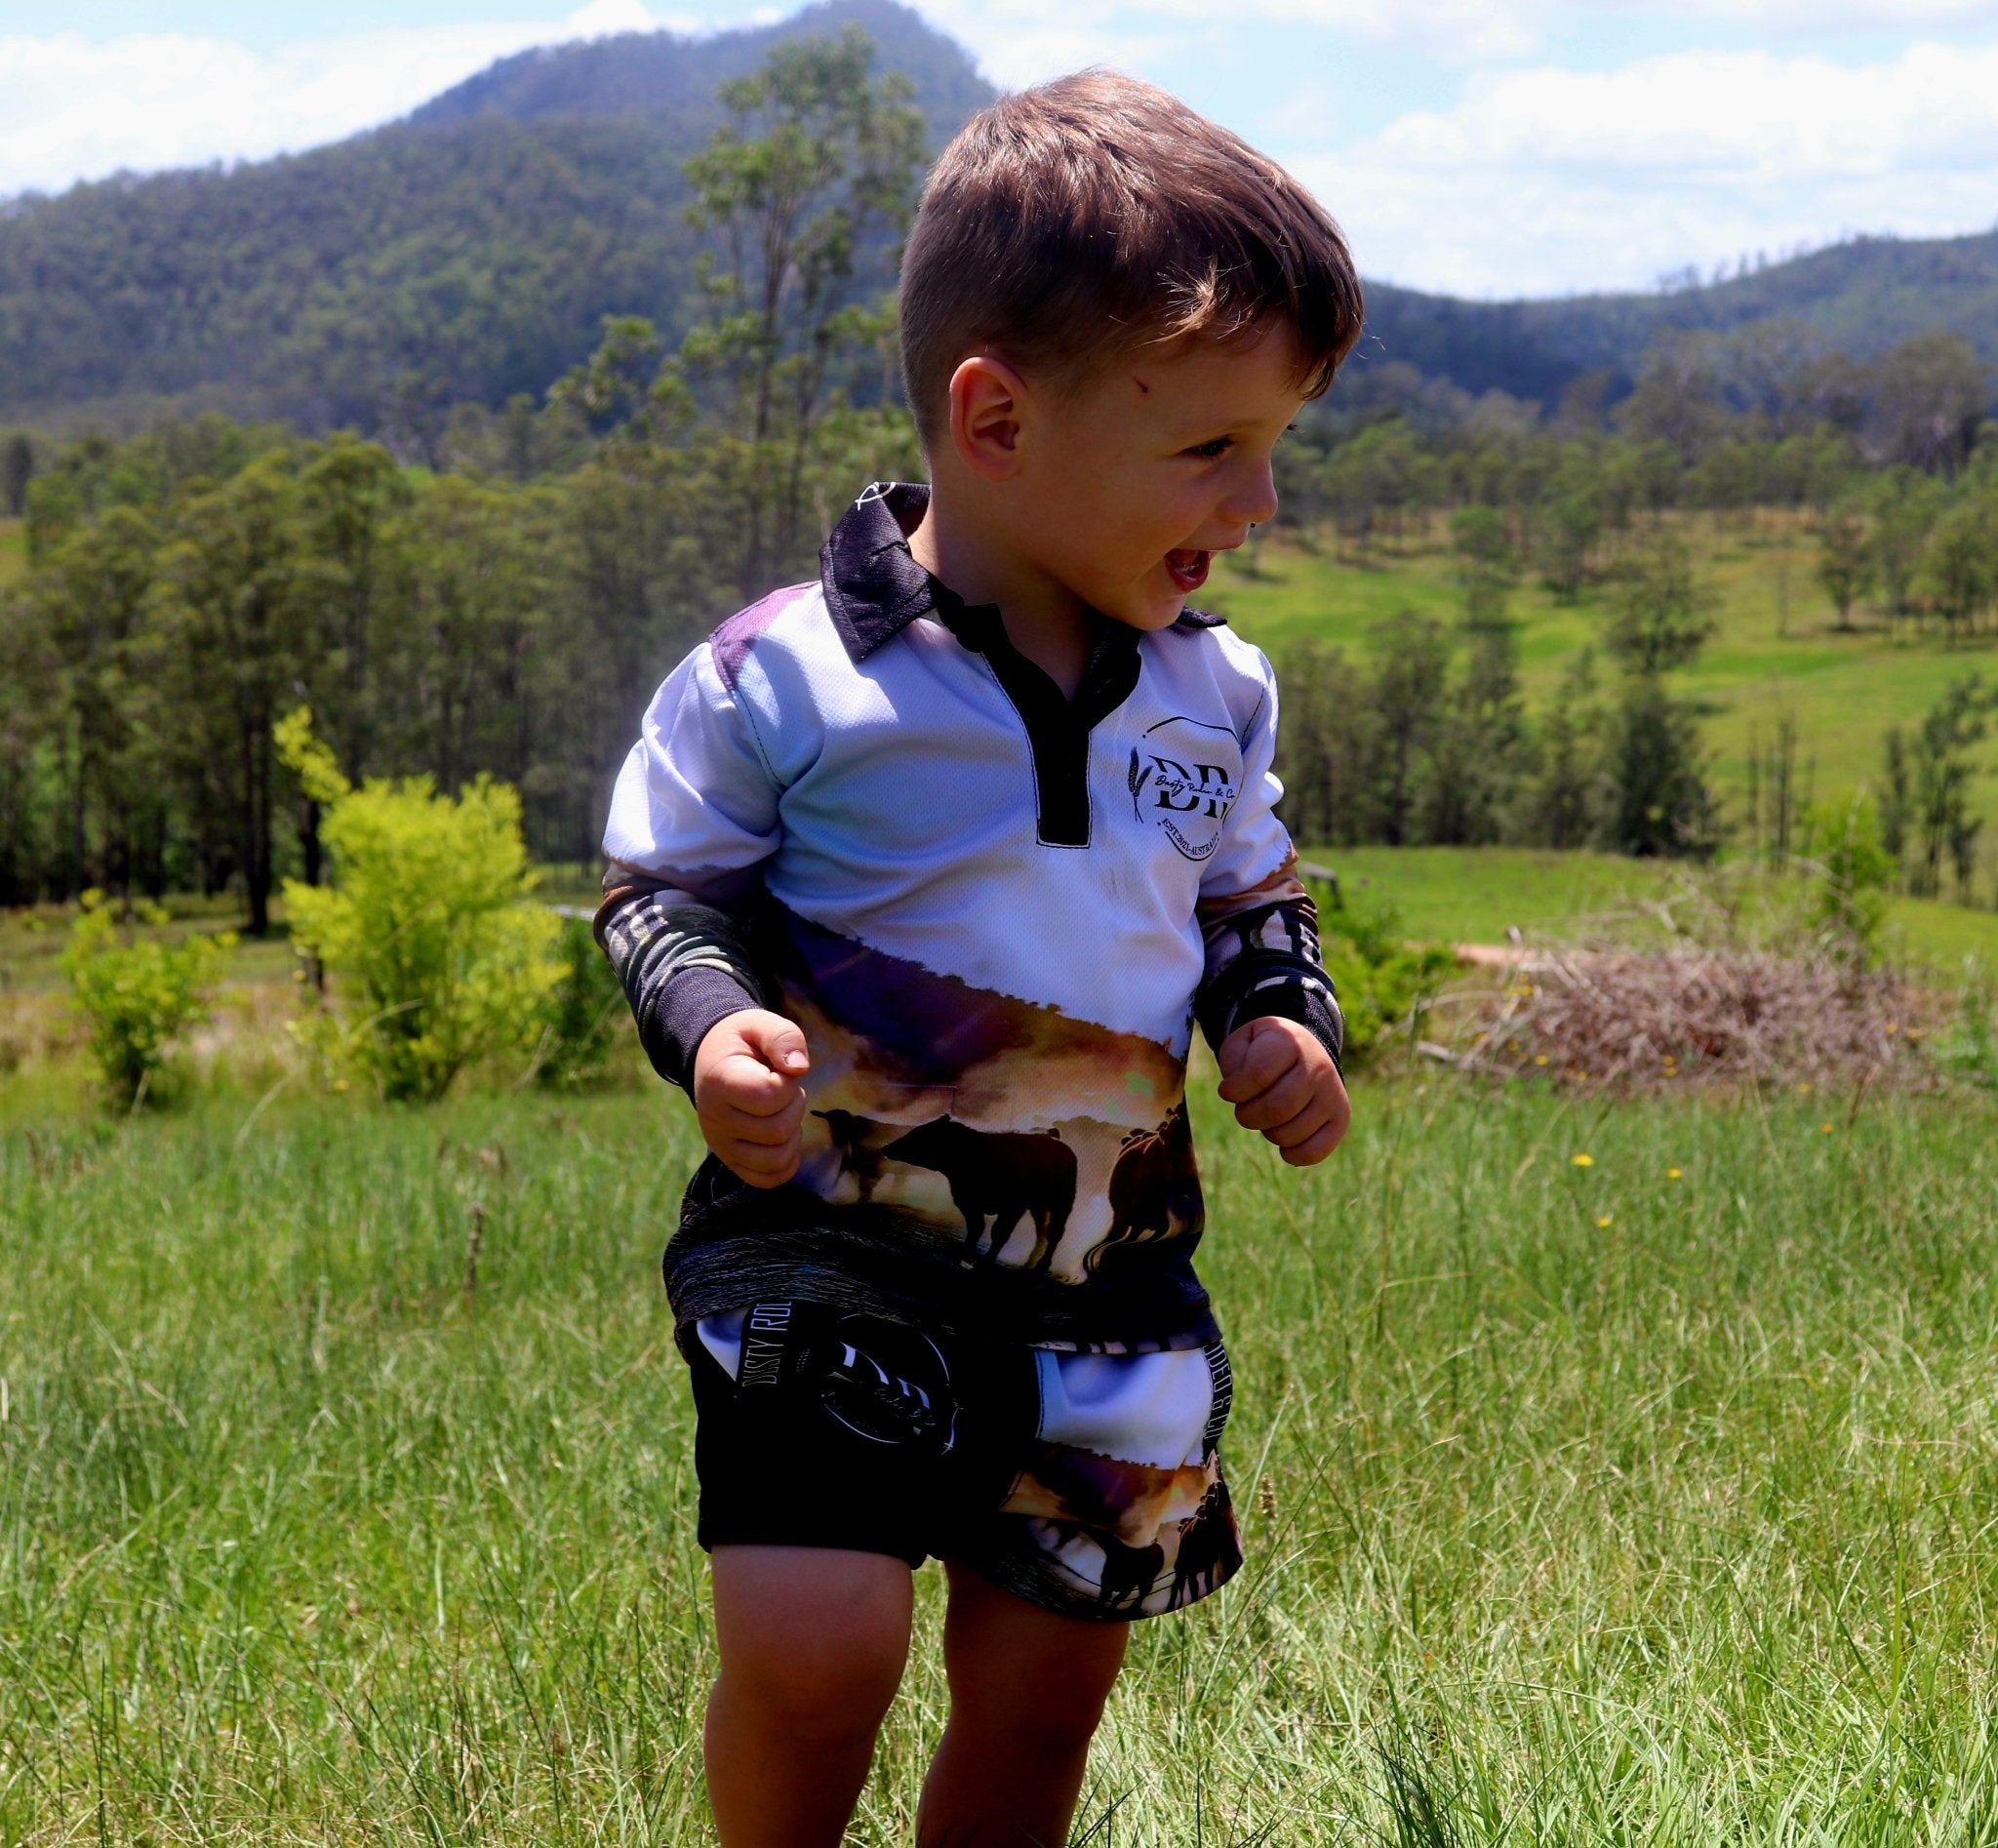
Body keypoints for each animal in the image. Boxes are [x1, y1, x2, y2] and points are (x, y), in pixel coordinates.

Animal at [879, 1118, 1076, 1271]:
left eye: (921, 1133)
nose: (886, 1148)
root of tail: (1053, 1137)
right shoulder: (967, 1201)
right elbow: (976, 1227)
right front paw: (965, 1252)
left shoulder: (1012, 1206)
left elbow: (999, 1232)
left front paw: (987, 1260)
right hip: (1039, 1206)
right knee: (1042, 1229)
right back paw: (1033, 1259)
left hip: (1062, 1203)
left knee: (1055, 1232)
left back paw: (1043, 1263)